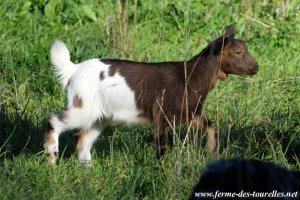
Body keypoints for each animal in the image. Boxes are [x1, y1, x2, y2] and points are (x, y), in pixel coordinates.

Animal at [44, 24, 258, 164]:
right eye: (238, 52)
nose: (256, 66)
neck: (191, 77)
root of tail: (73, 70)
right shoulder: (161, 115)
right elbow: (161, 148)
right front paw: (160, 172)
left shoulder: (190, 114)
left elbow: (211, 127)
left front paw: (212, 153)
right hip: (83, 106)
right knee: (55, 121)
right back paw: (52, 158)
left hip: (99, 114)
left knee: (82, 140)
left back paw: (87, 170)